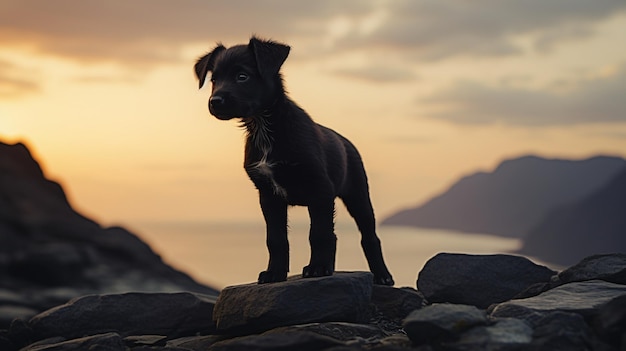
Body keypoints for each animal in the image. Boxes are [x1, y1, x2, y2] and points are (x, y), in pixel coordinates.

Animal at [193, 37, 392, 288]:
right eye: (214, 80)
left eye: (242, 76)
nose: (215, 101)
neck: (265, 126)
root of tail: (346, 142)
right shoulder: (268, 196)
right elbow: (276, 239)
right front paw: (275, 273)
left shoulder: (321, 189)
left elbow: (318, 233)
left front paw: (317, 268)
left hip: (358, 195)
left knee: (369, 236)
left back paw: (382, 275)